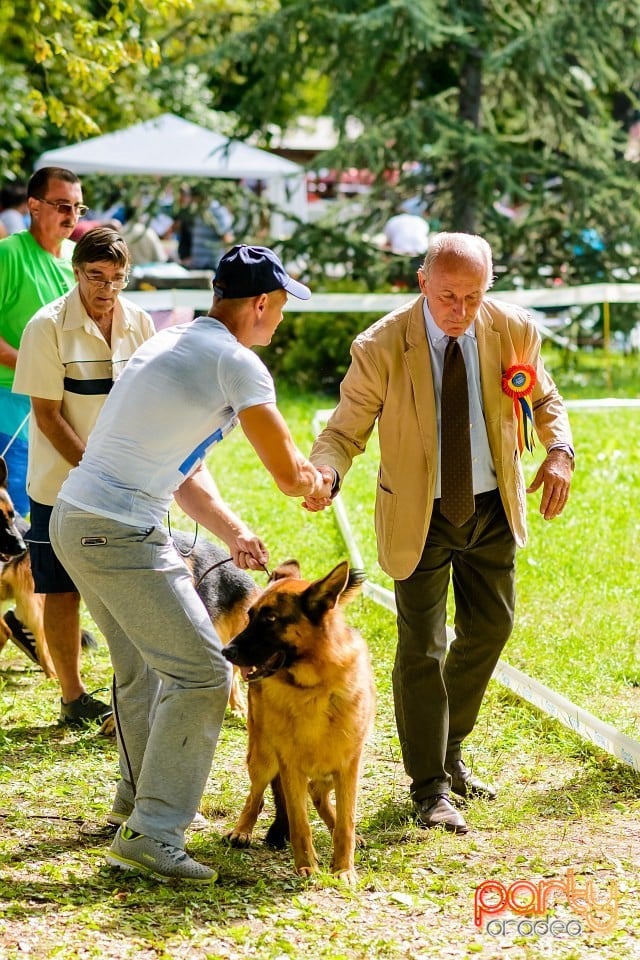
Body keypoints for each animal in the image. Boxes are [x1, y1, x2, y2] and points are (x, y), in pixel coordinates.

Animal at [224, 564, 376, 884]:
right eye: (250, 616)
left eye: (270, 619)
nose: (226, 651)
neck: (313, 688)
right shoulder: (290, 767)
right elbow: (299, 822)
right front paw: (307, 866)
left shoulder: (349, 766)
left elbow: (347, 821)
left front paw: (343, 868)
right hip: (263, 758)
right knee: (256, 795)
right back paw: (242, 830)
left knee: (318, 794)